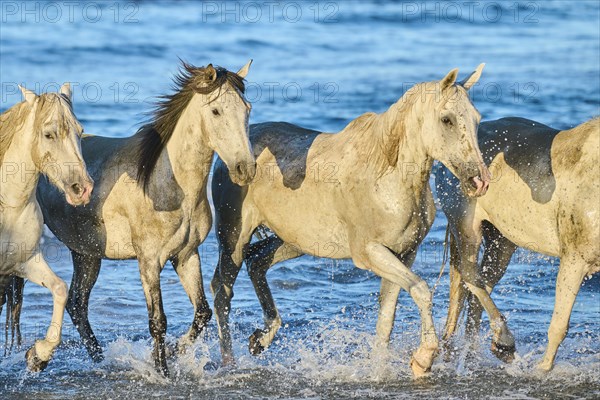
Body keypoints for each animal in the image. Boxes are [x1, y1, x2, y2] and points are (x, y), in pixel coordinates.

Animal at [0, 85, 93, 372]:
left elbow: (60, 289)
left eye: (80, 132)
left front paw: (39, 355)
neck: (8, 205)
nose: (82, 189)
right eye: (48, 134)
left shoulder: (24, 261)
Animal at [209, 65, 490, 378]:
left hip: (295, 241)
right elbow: (421, 290)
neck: (389, 177)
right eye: (447, 119)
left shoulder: (405, 254)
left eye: (477, 118)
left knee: (257, 262)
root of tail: (231, 159)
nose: (479, 180)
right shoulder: (369, 252)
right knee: (222, 292)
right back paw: (229, 361)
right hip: (233, 238)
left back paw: (262, 337)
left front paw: (381, 369)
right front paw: (424, 357)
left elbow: (386, 321)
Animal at [436, 117, 600, 370]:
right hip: (465, 227)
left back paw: (473, 354)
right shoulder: (575, 260)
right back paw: (503, 343)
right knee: (470, 277)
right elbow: (559, 325)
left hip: (501, 241)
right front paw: (541, 370)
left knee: (477, 290)